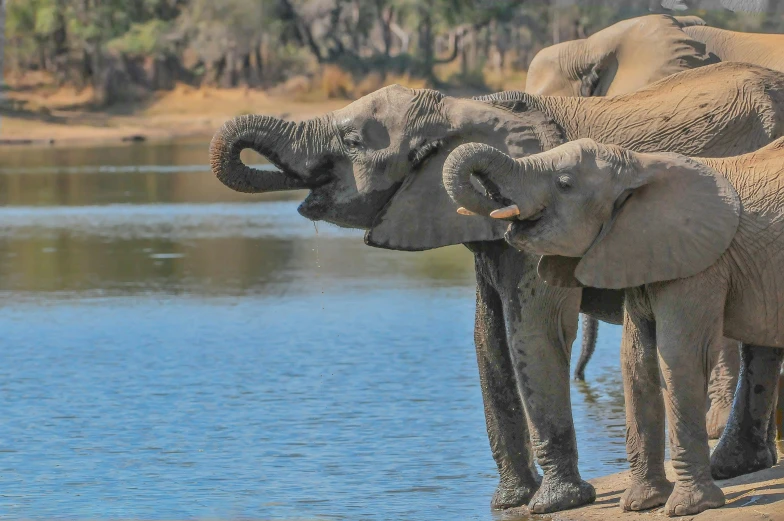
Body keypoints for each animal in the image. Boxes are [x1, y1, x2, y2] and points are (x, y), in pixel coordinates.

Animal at [440, 135, 784, 516]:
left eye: (564, 184)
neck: (639, 165)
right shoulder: (640, 255)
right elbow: (635, 360)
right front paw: (641, 503)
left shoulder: (700, 263)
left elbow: (679, 358)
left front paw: (687, 507)